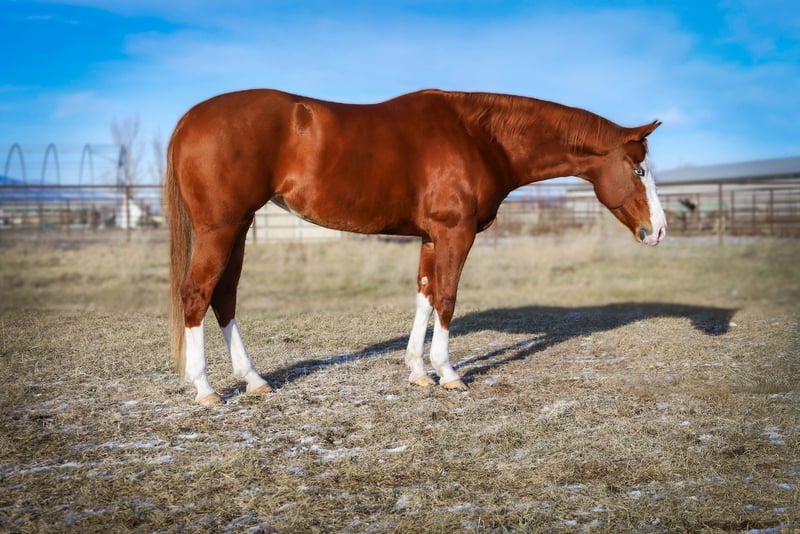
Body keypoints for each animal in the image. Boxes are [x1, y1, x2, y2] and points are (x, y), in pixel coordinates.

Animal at [165, 89, 666, 405]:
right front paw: (448, 374)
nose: (658, 231)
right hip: (221, 227)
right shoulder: (454, 233)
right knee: (197, 293)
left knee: (224, 296)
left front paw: (418, 372)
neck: (480, 137)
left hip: (238, 227)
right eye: (638, 170)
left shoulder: (430, 237)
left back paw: (254, 381)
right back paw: (206, 389)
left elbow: (424, 297)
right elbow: (446, 298)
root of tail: (189, 118)